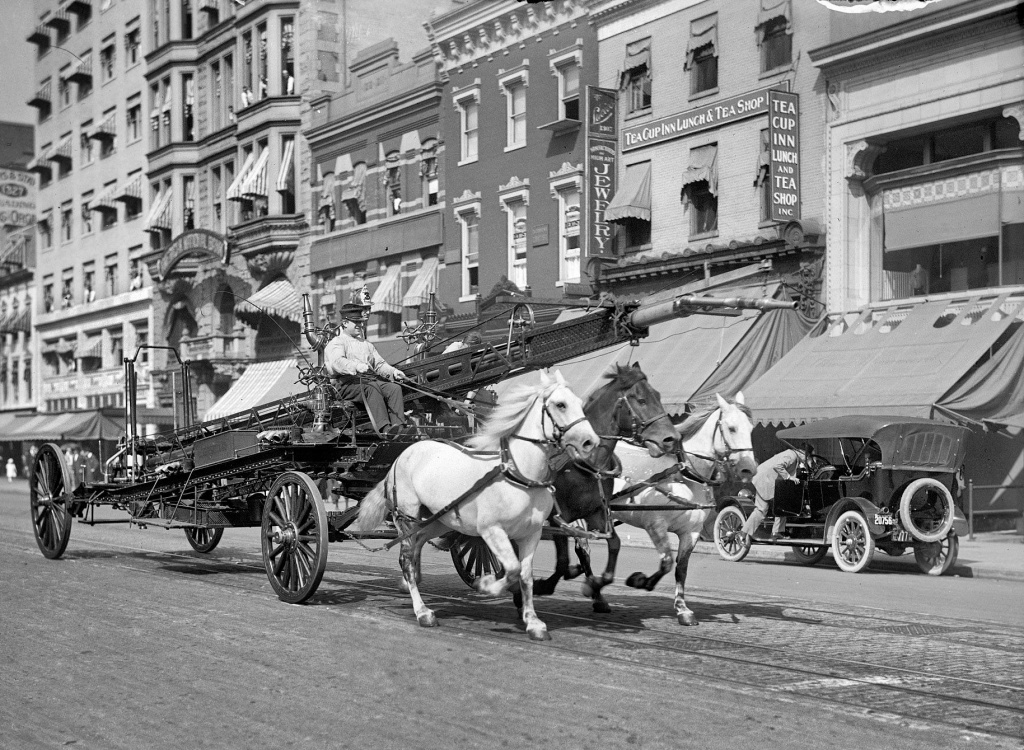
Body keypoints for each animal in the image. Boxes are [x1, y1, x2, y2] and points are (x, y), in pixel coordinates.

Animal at [354, 368, 598, 639]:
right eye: (560, 404)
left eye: (579, 403)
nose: (590, 442)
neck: (519, 475)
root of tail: (403, 454)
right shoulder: (492, 530)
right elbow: (512, 569)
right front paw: (487, 584)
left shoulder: (531, 533)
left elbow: (525, 576)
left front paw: (533, 622)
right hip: (406, 516)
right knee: (405, 558)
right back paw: (422, 611)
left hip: (439, 518)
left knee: (418, 543)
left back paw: (411, 581)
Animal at [610, 393, 757, 627]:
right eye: (732, 428)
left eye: (751, 429)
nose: (749, 469)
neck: (684, 474)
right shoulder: (655, 525)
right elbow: (667, 563)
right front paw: (641, 581)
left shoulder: (691, 532)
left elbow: (681, 568)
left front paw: (682, 609)